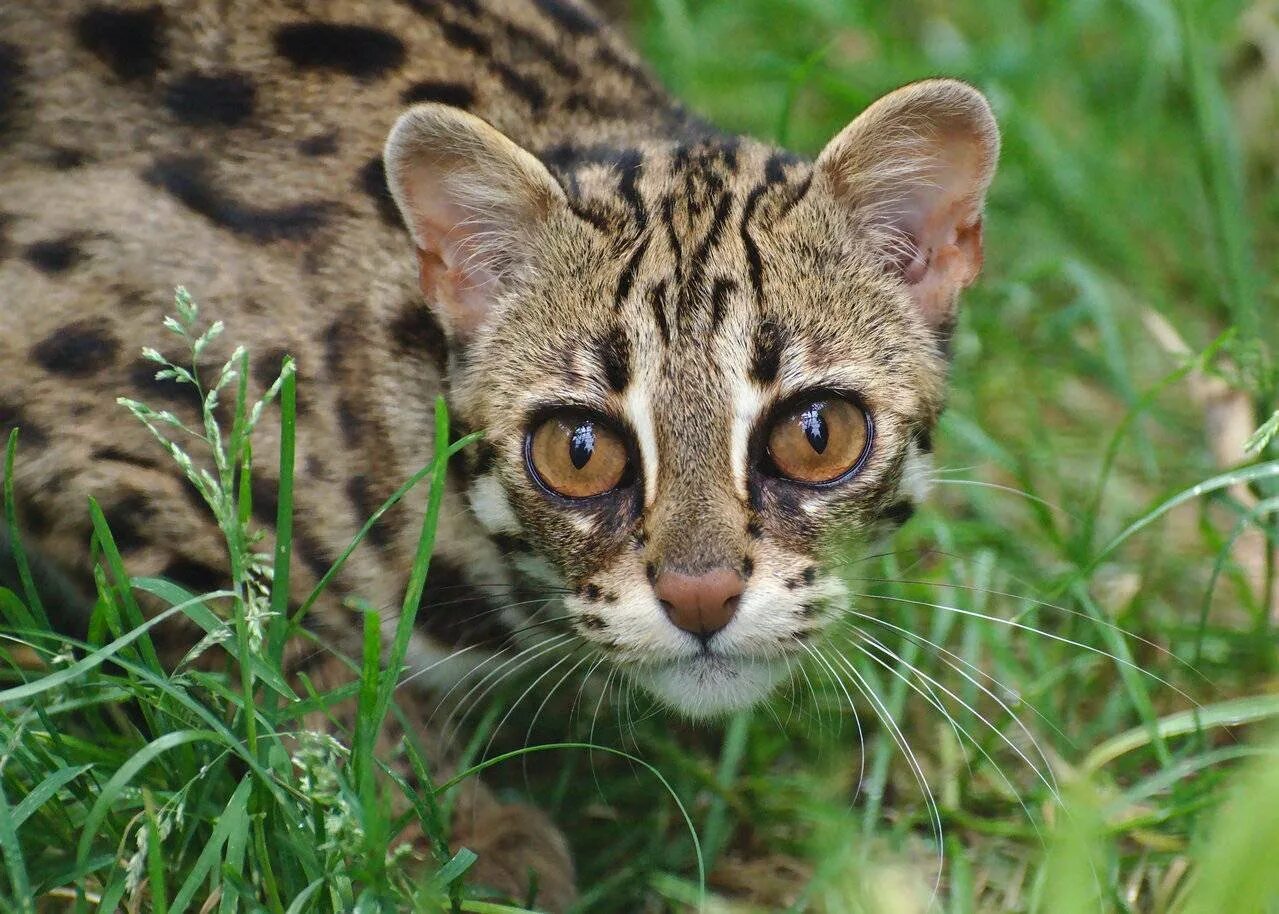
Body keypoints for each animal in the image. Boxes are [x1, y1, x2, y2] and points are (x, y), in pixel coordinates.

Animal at [0, 0, 997, 905]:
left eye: (816, 434)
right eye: (579, 450)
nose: (700, 596)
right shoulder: (75, 407)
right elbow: (277, 640)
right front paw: (428, 830)